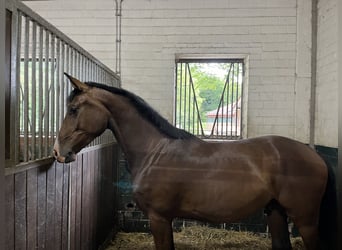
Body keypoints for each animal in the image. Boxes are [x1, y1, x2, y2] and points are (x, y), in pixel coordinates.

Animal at [54, 74, 336, 250]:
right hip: (276, 212)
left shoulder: (159, 218)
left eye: (74, 109)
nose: (58, 152)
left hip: (305, 219)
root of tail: (316, 155)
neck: (155, 152)